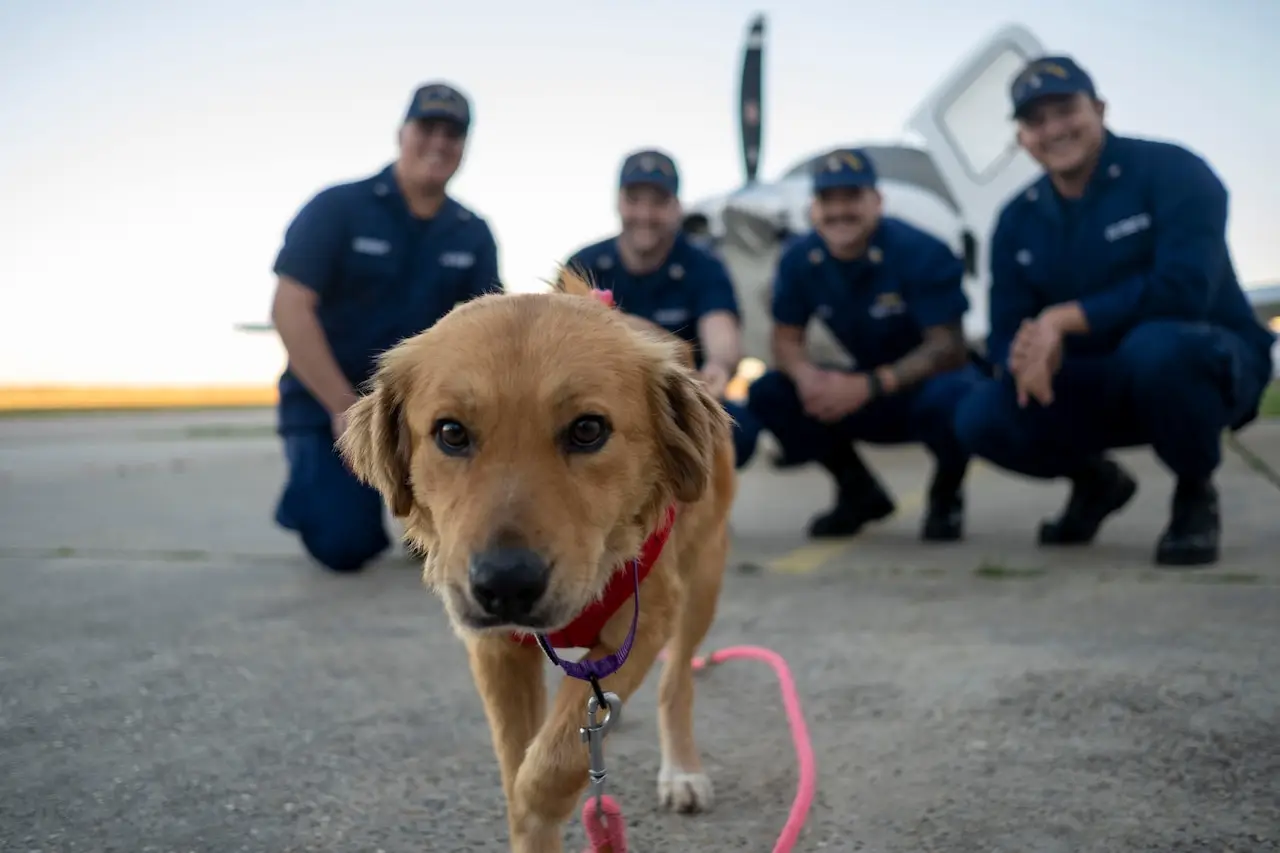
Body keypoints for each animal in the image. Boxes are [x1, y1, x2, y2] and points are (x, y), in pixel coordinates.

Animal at [335, 267, 737, 850]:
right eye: (451, 432)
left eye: (588, 429)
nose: (505, 586)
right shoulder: (496, 649)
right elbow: (517, 763)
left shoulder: (642, 624)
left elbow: (550, 767)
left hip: (702, 579)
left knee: (677, 681)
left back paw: (682, 769)